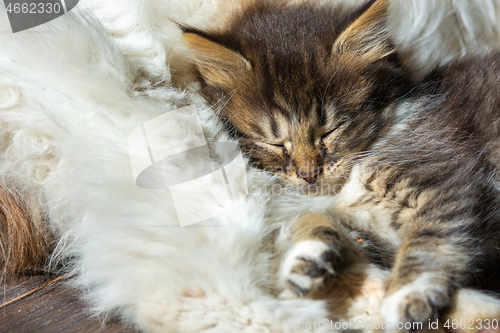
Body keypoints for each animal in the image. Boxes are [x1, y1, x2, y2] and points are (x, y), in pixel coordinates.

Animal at [183, 0, 500, 326]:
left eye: (330, 131)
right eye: (275, 143)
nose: (309, 174)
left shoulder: (447, 176)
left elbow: (429, 239)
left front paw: (407, 296)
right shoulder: (363, 231)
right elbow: (313, 220)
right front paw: (306, 257)